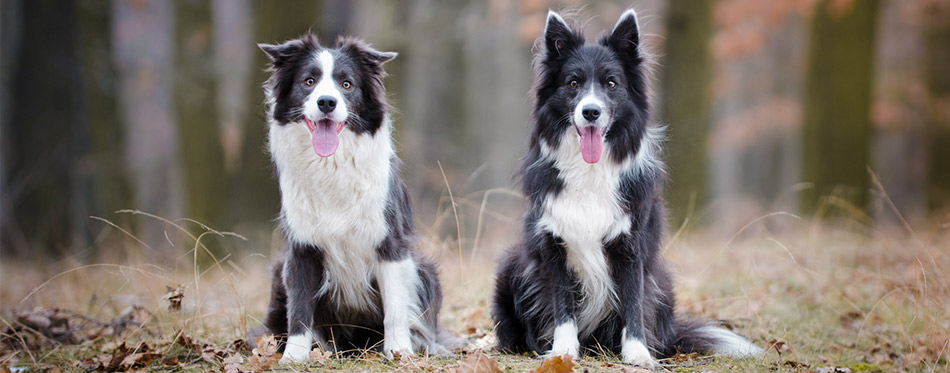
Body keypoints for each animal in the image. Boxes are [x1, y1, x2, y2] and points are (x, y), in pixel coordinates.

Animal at [258, 34, 448, 360]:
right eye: (309, 81)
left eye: (346, 84)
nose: (326, 102)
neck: (332, 165)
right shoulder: (301, 249)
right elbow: (299, 308)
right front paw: (293, 357)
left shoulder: (390, 242)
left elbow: (395, 307)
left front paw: (399, 352)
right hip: (278, 270)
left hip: (425, 270)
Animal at [490, 10, 768, 364]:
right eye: (573, 83)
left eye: (611, 83)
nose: (590, 112)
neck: (590, 171)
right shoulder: (553, 246)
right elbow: (562, 306)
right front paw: (562, 352)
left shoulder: (631, 246)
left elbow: (634, 302)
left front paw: (638, 354)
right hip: (511, 266)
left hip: (662, 280)